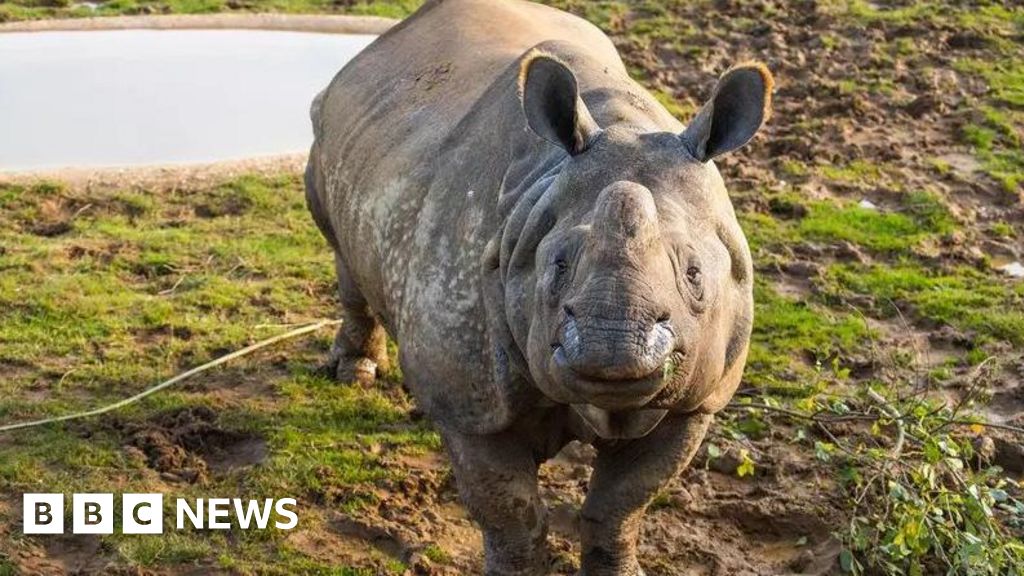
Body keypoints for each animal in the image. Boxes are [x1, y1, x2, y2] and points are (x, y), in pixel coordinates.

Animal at [305, 0, 771, 573]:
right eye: (558, 266)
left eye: (695, 275)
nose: (614, 345)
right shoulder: (473, 398)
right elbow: (509, 511)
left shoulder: (699, 398)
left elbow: (621, 506)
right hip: (330, 131)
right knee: (340, 246)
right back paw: (356, 374)